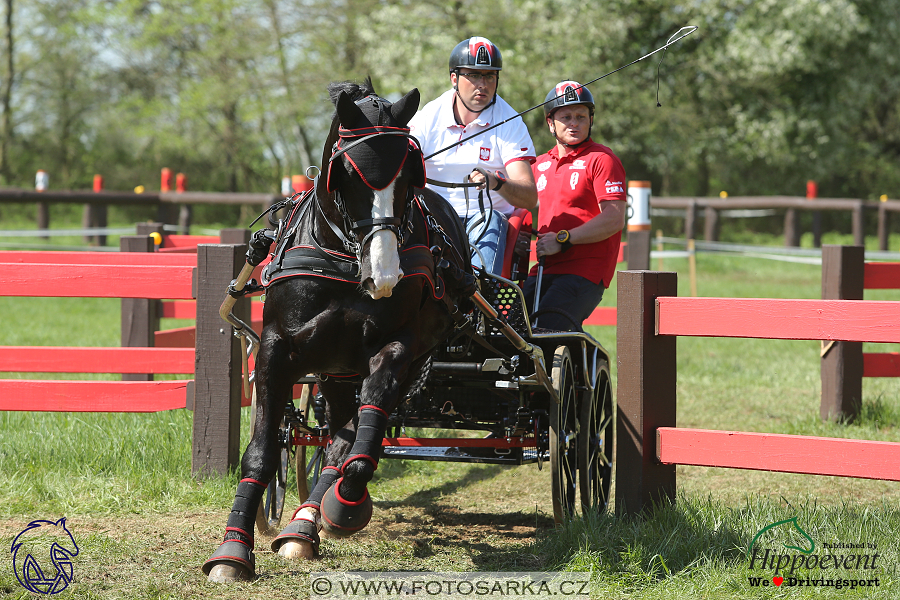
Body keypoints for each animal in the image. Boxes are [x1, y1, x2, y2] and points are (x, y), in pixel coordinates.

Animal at [202, 79, 472, 580]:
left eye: (410, 178)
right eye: (347, 173)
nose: (384, 275)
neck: (344, 260)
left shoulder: (397, 350)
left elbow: (361, 450)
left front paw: (346, 505)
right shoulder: (275, 352)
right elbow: (262, 452)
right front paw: (232, 551)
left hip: (370, 368)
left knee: (344, 440)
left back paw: (311, 521)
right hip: (334, 372)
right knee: (334, 434)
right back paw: (300, 526)